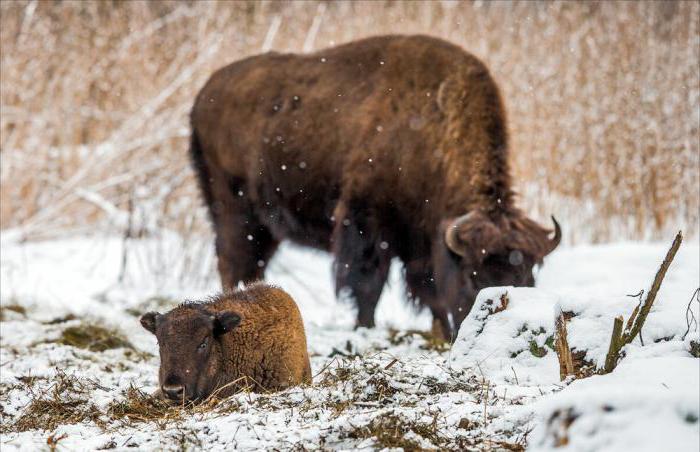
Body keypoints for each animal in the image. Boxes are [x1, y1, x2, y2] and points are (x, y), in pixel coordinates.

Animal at [189, 35, 560, 340]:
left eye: (529, 278)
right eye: (473, 277)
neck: (434, 131)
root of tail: (204, 96)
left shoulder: (422, 241)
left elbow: (428, 290)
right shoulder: (367, 223)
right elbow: (368, 285)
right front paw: (364, 328)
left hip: (264, 226)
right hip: (234, 210)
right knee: (233, 260)